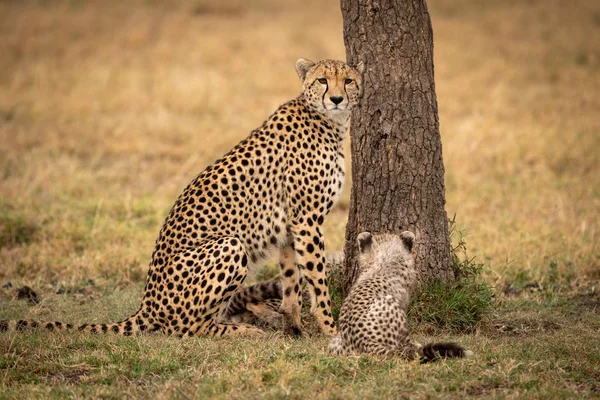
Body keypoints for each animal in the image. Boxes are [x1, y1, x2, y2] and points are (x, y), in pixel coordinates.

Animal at [0, 58, 366, 338]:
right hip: (230, 245)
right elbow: (317, 281)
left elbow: (292, 281)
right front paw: (332, 331)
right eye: (322, 80)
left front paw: (294, 327)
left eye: (348, 81)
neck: (329, 122)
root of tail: (146, 303)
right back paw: (241, 331)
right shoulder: (306, 220)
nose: (336, 98)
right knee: (185, 328)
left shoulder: (292, 224)